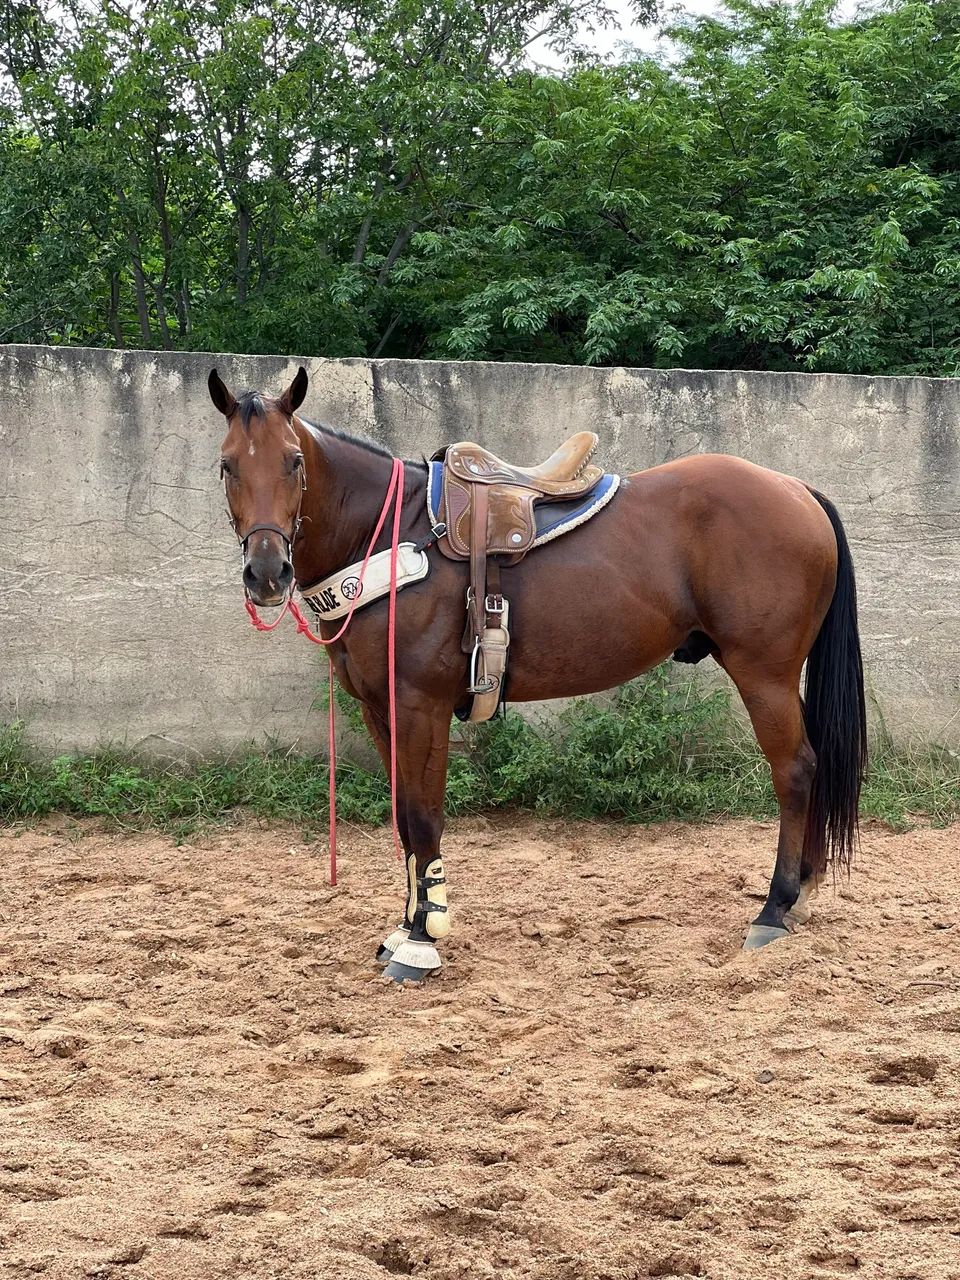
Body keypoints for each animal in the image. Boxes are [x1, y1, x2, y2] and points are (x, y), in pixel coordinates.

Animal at [208, 365, 867, 983]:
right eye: (226, 466)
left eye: (294, 461)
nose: (266, 573)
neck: (391, 534)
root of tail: (796, 490)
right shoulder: (379, 707)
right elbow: (403, 819)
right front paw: (402, 929)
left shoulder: (420, 704)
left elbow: (424, 817)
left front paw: (421, 941)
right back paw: (800, 895)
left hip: (764, 674)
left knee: (796, 771)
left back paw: (775, 908)